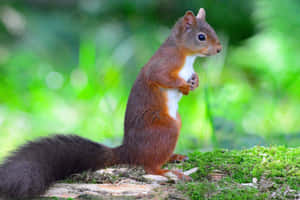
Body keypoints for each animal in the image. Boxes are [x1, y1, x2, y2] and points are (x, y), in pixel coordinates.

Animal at [0, 8, 220, 200]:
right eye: (201, 36)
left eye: (212, 29)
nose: (219, 49)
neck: (186, 56)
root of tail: (129, 150)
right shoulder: (163, 65)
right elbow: (160, 77)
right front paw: (183, 86)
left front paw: (195, 82)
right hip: (166, 128)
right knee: (149, 165)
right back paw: (166, 171)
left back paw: (174, 157)